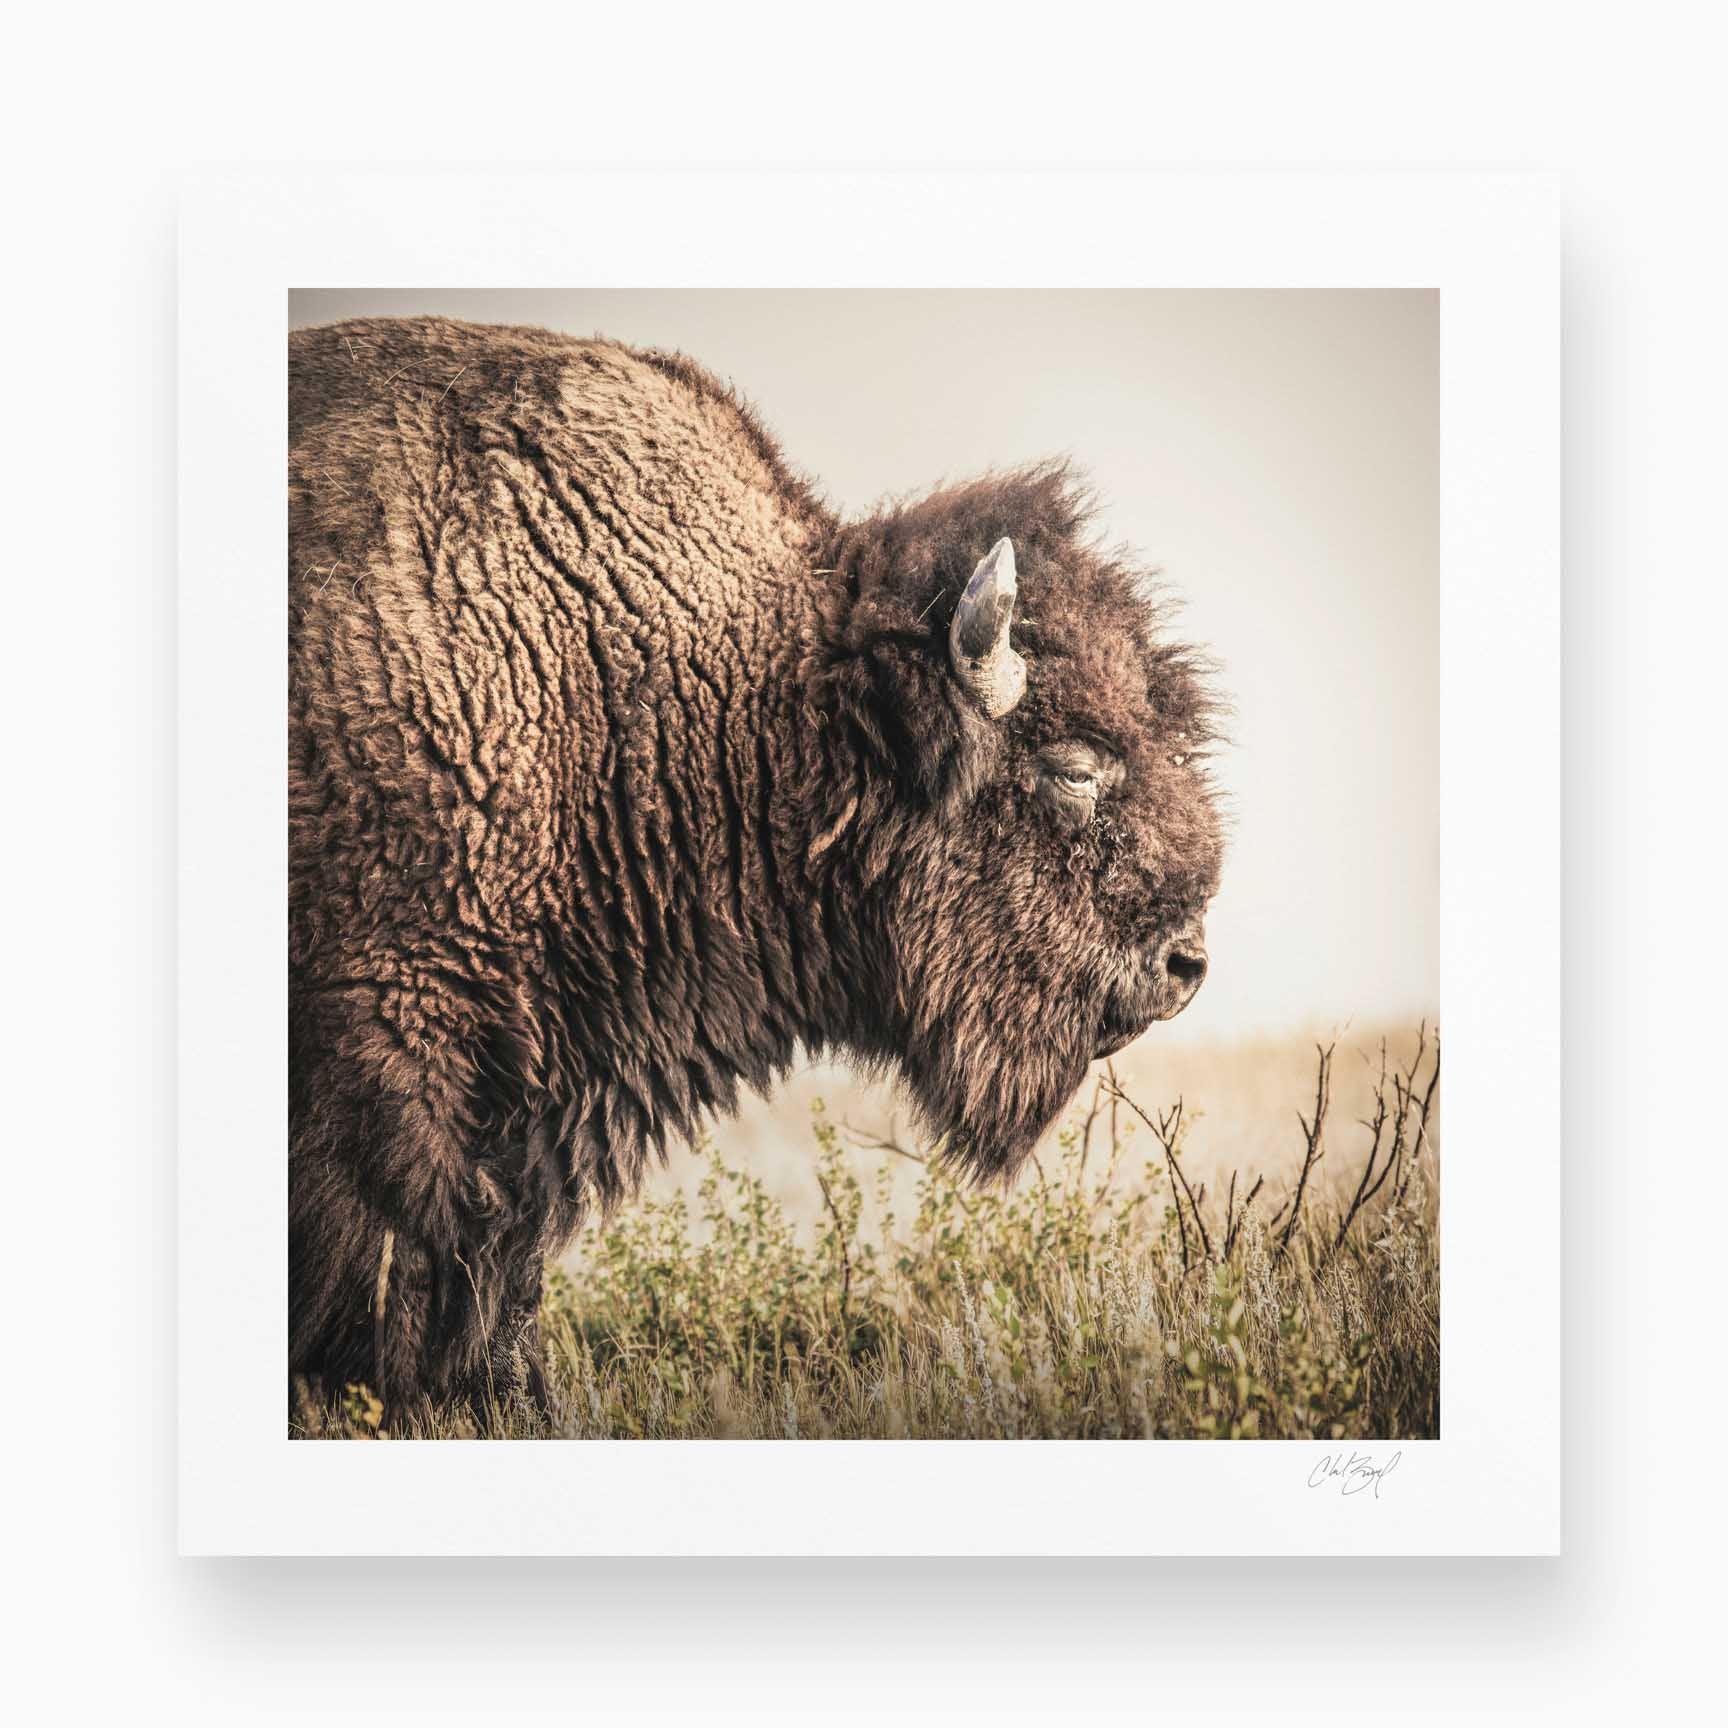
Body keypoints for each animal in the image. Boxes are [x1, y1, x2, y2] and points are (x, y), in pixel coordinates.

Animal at [289, 316, 1224, 1413]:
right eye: (1072, 768)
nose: (1185, 964)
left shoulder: (530, 1095)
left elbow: (495, 1259)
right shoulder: (389, 1044)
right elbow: (410, 1253)